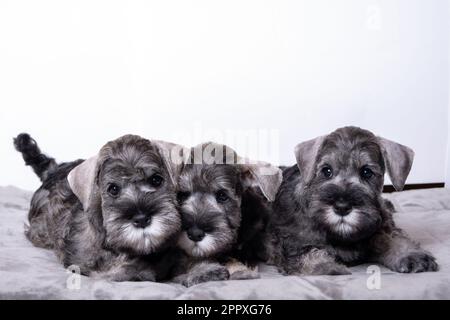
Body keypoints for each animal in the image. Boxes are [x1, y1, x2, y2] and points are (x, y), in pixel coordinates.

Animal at [266, 127, 438, 276]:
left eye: (367, 172)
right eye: (326, 170)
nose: (342, 207)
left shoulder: (380, 227)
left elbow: (392, 237)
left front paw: (411, 255)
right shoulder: (293, 243)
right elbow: (309, 256)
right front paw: (328, 267)